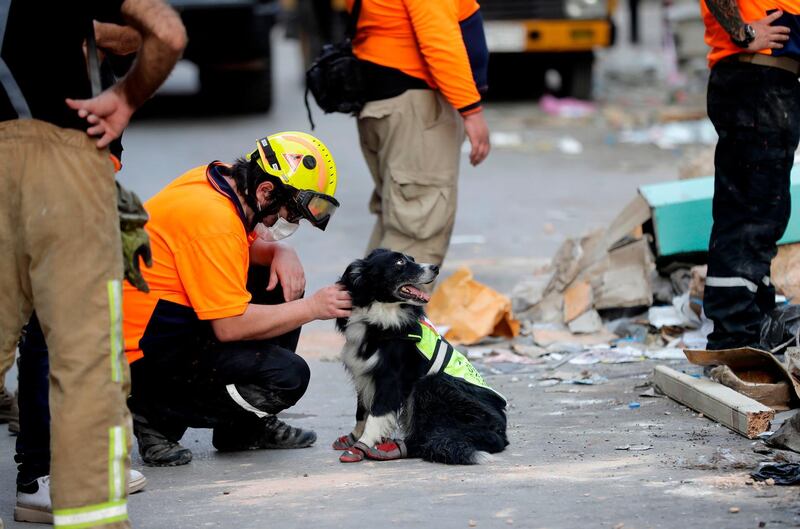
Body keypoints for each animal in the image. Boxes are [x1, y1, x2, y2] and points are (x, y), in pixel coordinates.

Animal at [332, 248, 506, 462]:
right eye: (399, 262)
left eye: (412, 259)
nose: (435, 268)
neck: (378, 317)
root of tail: (500, 433)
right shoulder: (363, 374)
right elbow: (361, 410)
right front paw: (354, 437)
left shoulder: (389, 378)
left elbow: (377, 413)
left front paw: (361, 445)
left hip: (431, 384)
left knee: (428, 436)